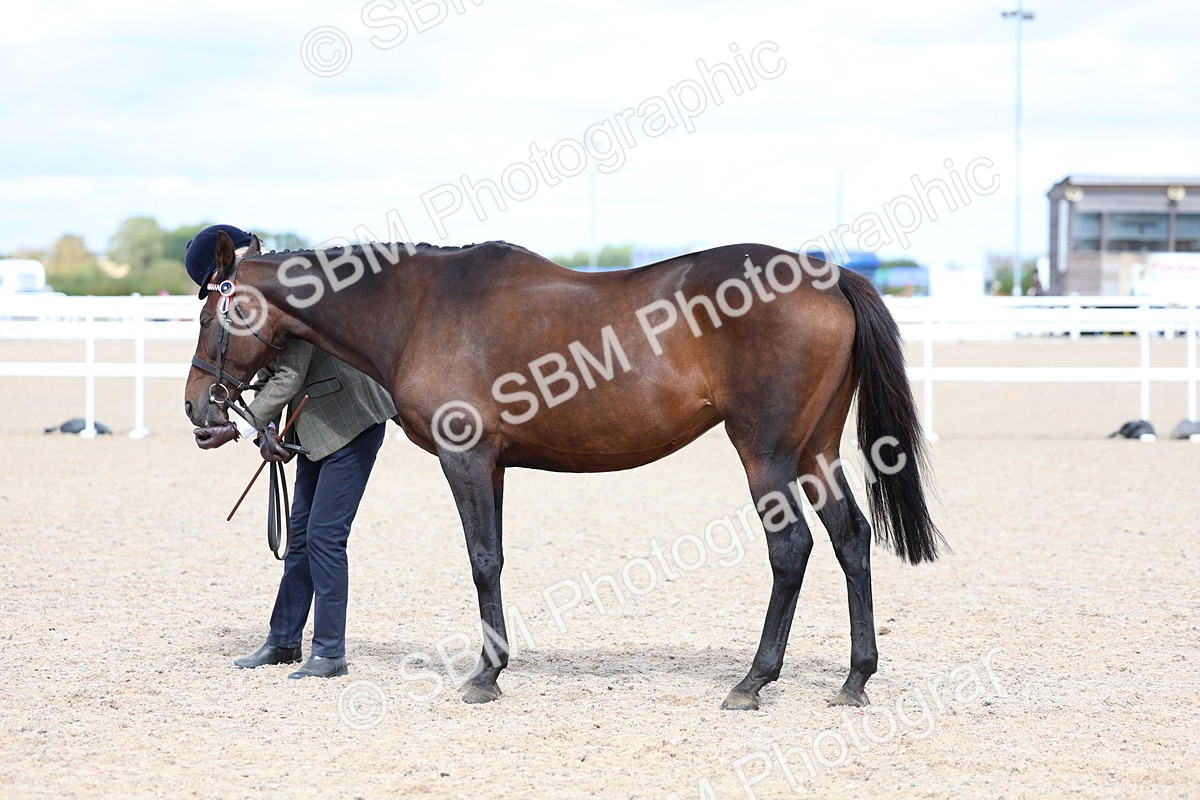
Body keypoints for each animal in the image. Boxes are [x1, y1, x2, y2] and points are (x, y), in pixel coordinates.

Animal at [184, 231, 941, 710]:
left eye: (209, 317)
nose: (197, 406)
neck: (419, 308)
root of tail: (828, 277)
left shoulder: (467, 459)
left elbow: (482, 560)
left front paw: (485, 676)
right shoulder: (493, 466)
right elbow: (493, 558)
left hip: (768, 453)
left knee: (792, 550)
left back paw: (752, 682)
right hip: (816, 451)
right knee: (850, 541)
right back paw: (855, 679)